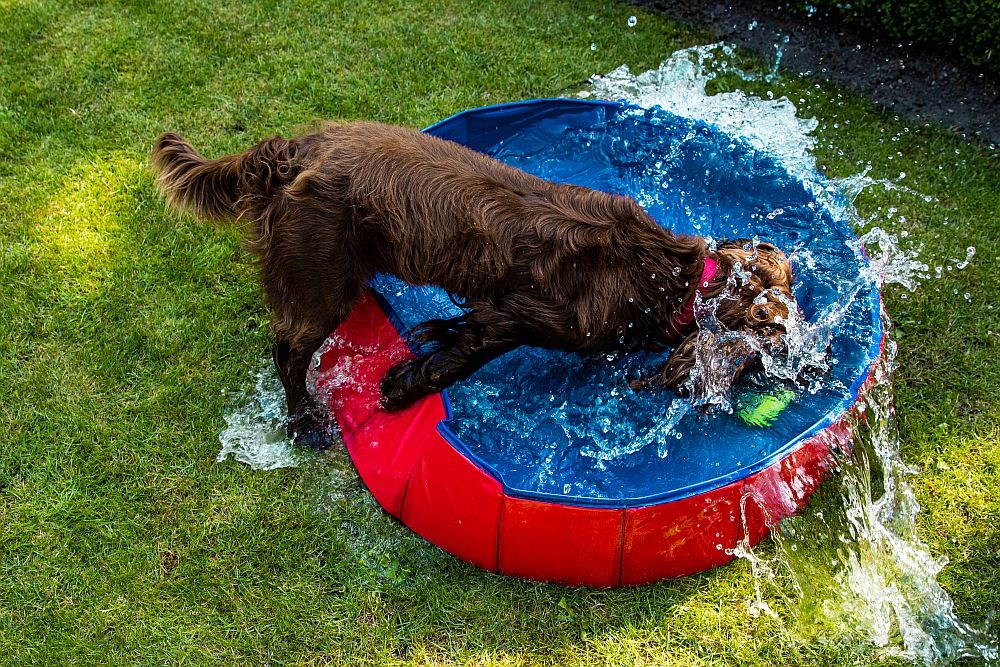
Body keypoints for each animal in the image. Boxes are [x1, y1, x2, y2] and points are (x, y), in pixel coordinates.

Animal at [150, 123, 796, 452]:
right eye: (779, 335)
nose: (806, 364)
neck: (669, 279)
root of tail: (292, 147)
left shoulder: (493, 307)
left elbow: (455, 330)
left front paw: (424, 341)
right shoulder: (522, 316)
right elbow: (459, 359)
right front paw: (402, 387)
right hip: (319, 275)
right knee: (287, 351)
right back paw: (305, 421)